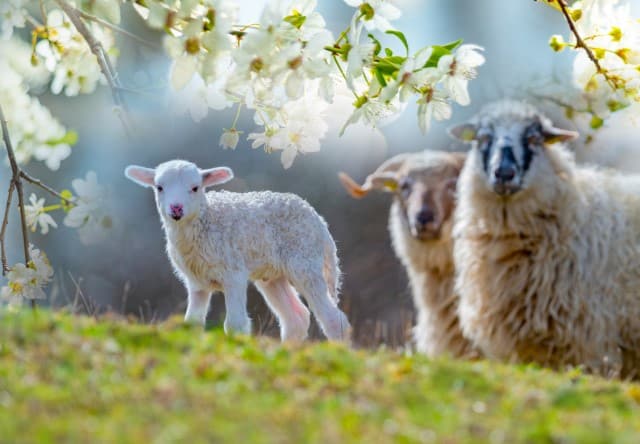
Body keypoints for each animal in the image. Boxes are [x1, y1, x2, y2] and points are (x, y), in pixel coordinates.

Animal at [122, 160, 348, 344]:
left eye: (195, 188)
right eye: (159, 187)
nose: (176, 209)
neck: (206, 221)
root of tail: (320, 222)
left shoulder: (233, 274)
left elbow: (235, 324)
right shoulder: (196, 282)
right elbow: (192, 323)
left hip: (304, 259)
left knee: (333, 319)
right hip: (273, 275)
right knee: (296, 318)